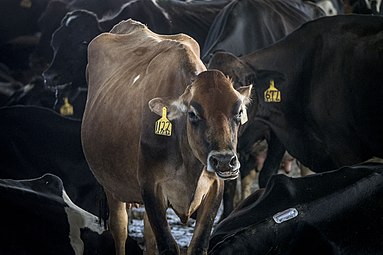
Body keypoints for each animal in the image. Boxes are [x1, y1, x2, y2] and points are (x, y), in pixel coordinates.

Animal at [82, 19, 252, 255]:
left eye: (238, 112)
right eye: (193, 114)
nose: (225, 161)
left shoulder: (215, 188)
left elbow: (198, 245)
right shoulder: (150, 188)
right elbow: (167, 245)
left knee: (148, 237)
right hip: (111, 186)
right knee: (120, 229)